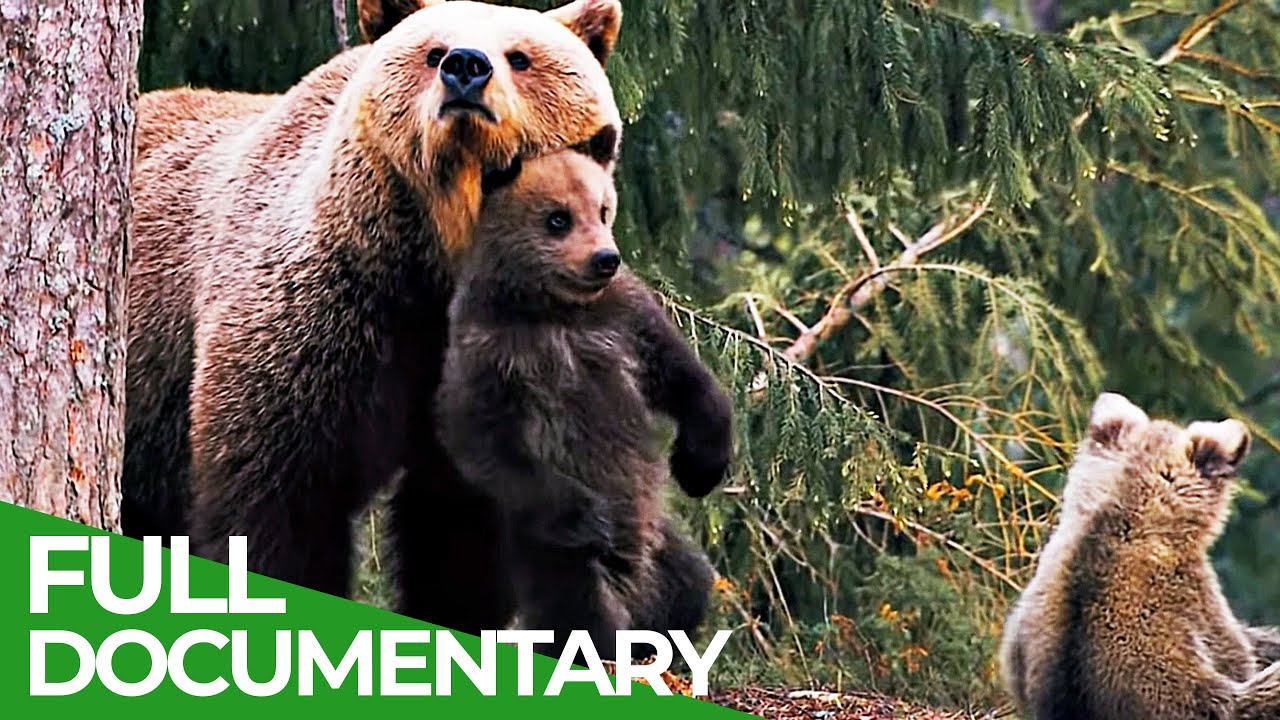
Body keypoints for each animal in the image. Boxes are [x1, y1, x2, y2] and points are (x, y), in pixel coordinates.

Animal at [122, 0, 633, 635]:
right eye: (434, 51)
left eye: (521, 55)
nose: (467, 67)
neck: (437, 260)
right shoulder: (326, 319)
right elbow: (280, 498)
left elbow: (466, 525)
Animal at [434, 148, 733, 660]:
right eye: (558, 218)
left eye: (604, 209)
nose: (605, 258)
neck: (556, 308)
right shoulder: (491, 352)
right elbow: (486, 443)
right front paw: (591, 515)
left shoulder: (624, 320)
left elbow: (683, 378)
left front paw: (698, 464)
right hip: (552, 557)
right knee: (578, 610)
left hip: (660, 537)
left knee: (689, 583)